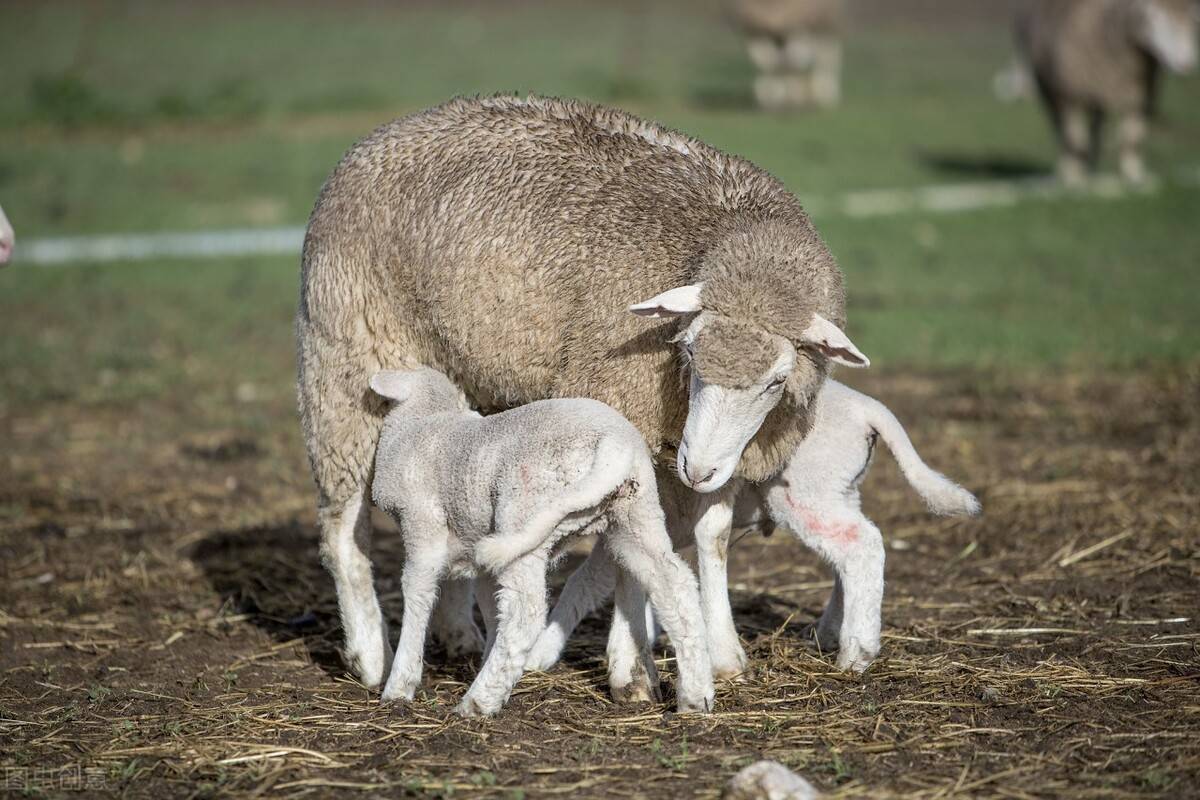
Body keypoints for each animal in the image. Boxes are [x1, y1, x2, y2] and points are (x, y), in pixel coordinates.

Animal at [369, 367, 715, 714]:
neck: (427, 417)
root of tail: (613, 446)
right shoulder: (478, 550)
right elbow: (489, 606)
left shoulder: (421, 525)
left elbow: (418, 596)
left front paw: (399, 687)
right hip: (634, 514)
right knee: (675, 585)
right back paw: (696, 695)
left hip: (524, 514)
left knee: (525, 615)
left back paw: (478, 703)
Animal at [530, 381, 979, 676]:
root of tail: (867, 407)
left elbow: (584, 584)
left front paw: (541, 652)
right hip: (841, 488)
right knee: (846, 557)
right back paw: (829, 633)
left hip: (805, 490)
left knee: (862, 544)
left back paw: (856, 652)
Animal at [1012, 0, 1200, 183]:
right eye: (1155, 17)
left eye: (1192, 21)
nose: (1187, 63)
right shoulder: (1070, 95)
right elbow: (1075, 139)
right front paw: (1074, 178)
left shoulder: (1141, 98)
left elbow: (1132, 138)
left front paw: (1134, 176)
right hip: (1050, 89)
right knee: (1063, 132)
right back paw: (1070, 170)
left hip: (1096, 95)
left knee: (1095, 130)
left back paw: (1091, 168)